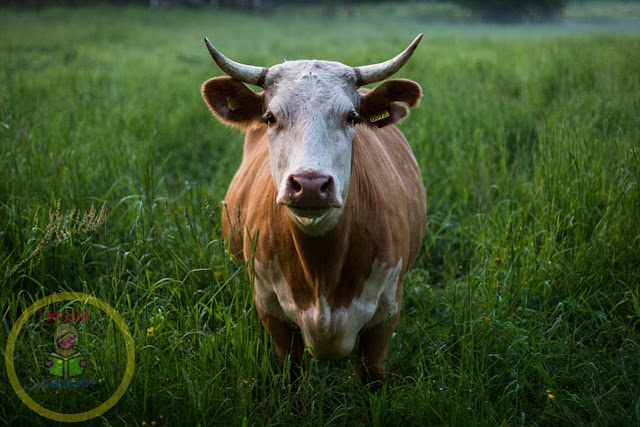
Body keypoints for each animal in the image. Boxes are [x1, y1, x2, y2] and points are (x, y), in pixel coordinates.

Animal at [202, 35, 428, 390]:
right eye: (270, 117)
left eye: (351, 117)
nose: (310, 184)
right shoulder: (273, 314)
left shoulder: (385, 318)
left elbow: (372, 379)